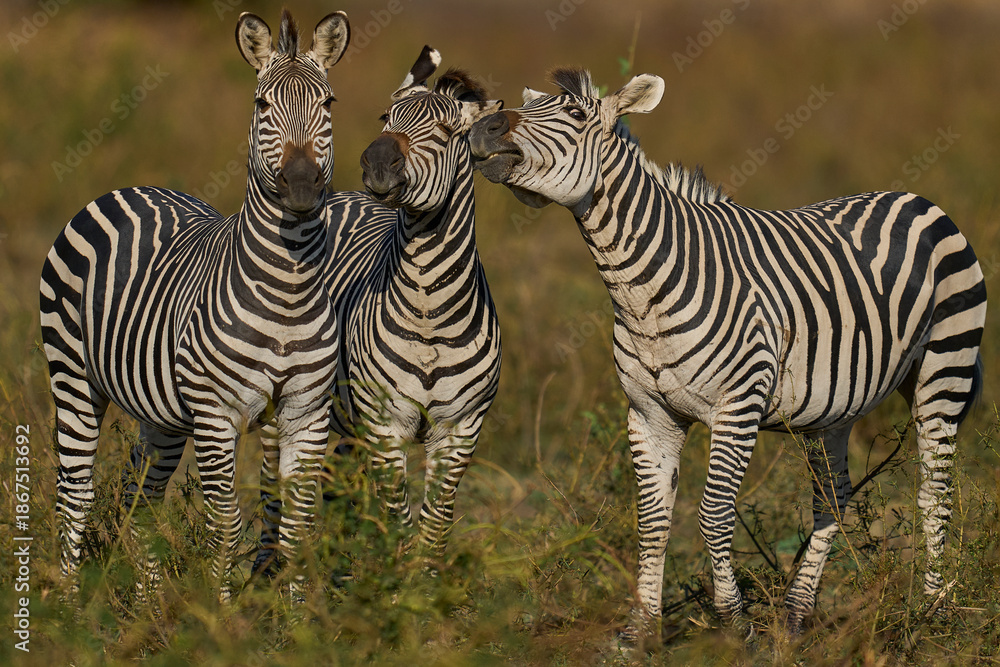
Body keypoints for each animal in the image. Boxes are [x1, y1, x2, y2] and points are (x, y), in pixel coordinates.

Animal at [39, 10, 350, 599]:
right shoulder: (215, 412)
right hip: (72, 374)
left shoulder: (306, 411)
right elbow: (225, 522)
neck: (289, 290)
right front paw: (222, 613)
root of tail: (130, 188)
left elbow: (298, 526)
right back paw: (66, 601)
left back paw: (149, 602)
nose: (301, 187)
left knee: (138, 495)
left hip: (159, 411)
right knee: (76, 489)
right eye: (261, 105)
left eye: (328, 104)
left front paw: (298, 615)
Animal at [255, 47, 504, 574]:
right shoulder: (385, 424)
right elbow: (402, 522)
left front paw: (426, 587)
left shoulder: (461, 429)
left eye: (447, 131)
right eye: (385, 118)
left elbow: (435, 526)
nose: (376, 161)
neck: (430, 311)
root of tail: (345, 195)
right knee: (271, 485)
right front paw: (398, 585)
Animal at [469, 69, 986, 638]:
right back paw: (797, 613)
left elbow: (713, 514)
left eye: (577, 115)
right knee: (833, 494)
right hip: (839, 403)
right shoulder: (650, 413)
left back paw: (934, 612)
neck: (639, 290)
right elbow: (653, 520)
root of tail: (914, 197)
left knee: (935, 487)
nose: (484, 127)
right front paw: (640, 631)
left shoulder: (738, 406)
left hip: (946, 367)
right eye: (529, 104)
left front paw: (735, 624)